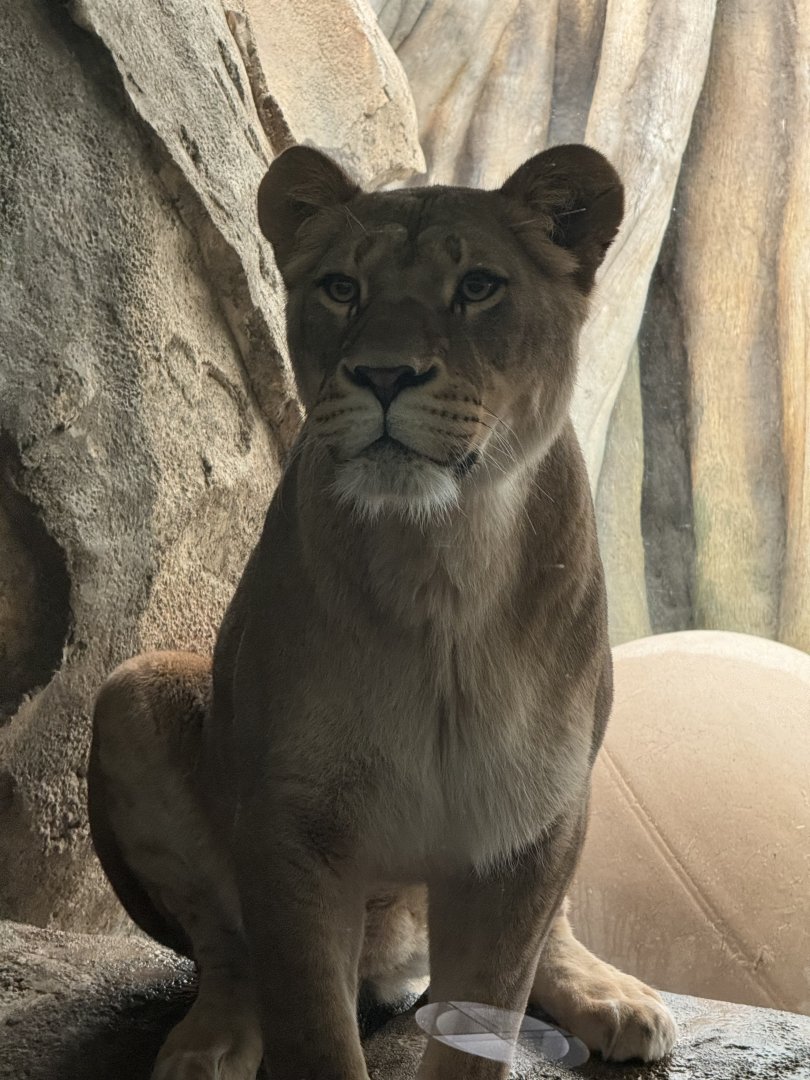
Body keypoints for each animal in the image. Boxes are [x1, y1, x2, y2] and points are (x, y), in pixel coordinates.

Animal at [88, 143, 677, 1080]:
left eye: (478, 286)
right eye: (341, 288)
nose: (384, 374)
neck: (439, 561)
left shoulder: (524, 827)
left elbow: (488, 1017)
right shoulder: (293, 824)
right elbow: (313, 1030)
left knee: (551, 929)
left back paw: (612, 998)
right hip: (133, 691)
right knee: (229, 949)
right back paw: (209, 1043)